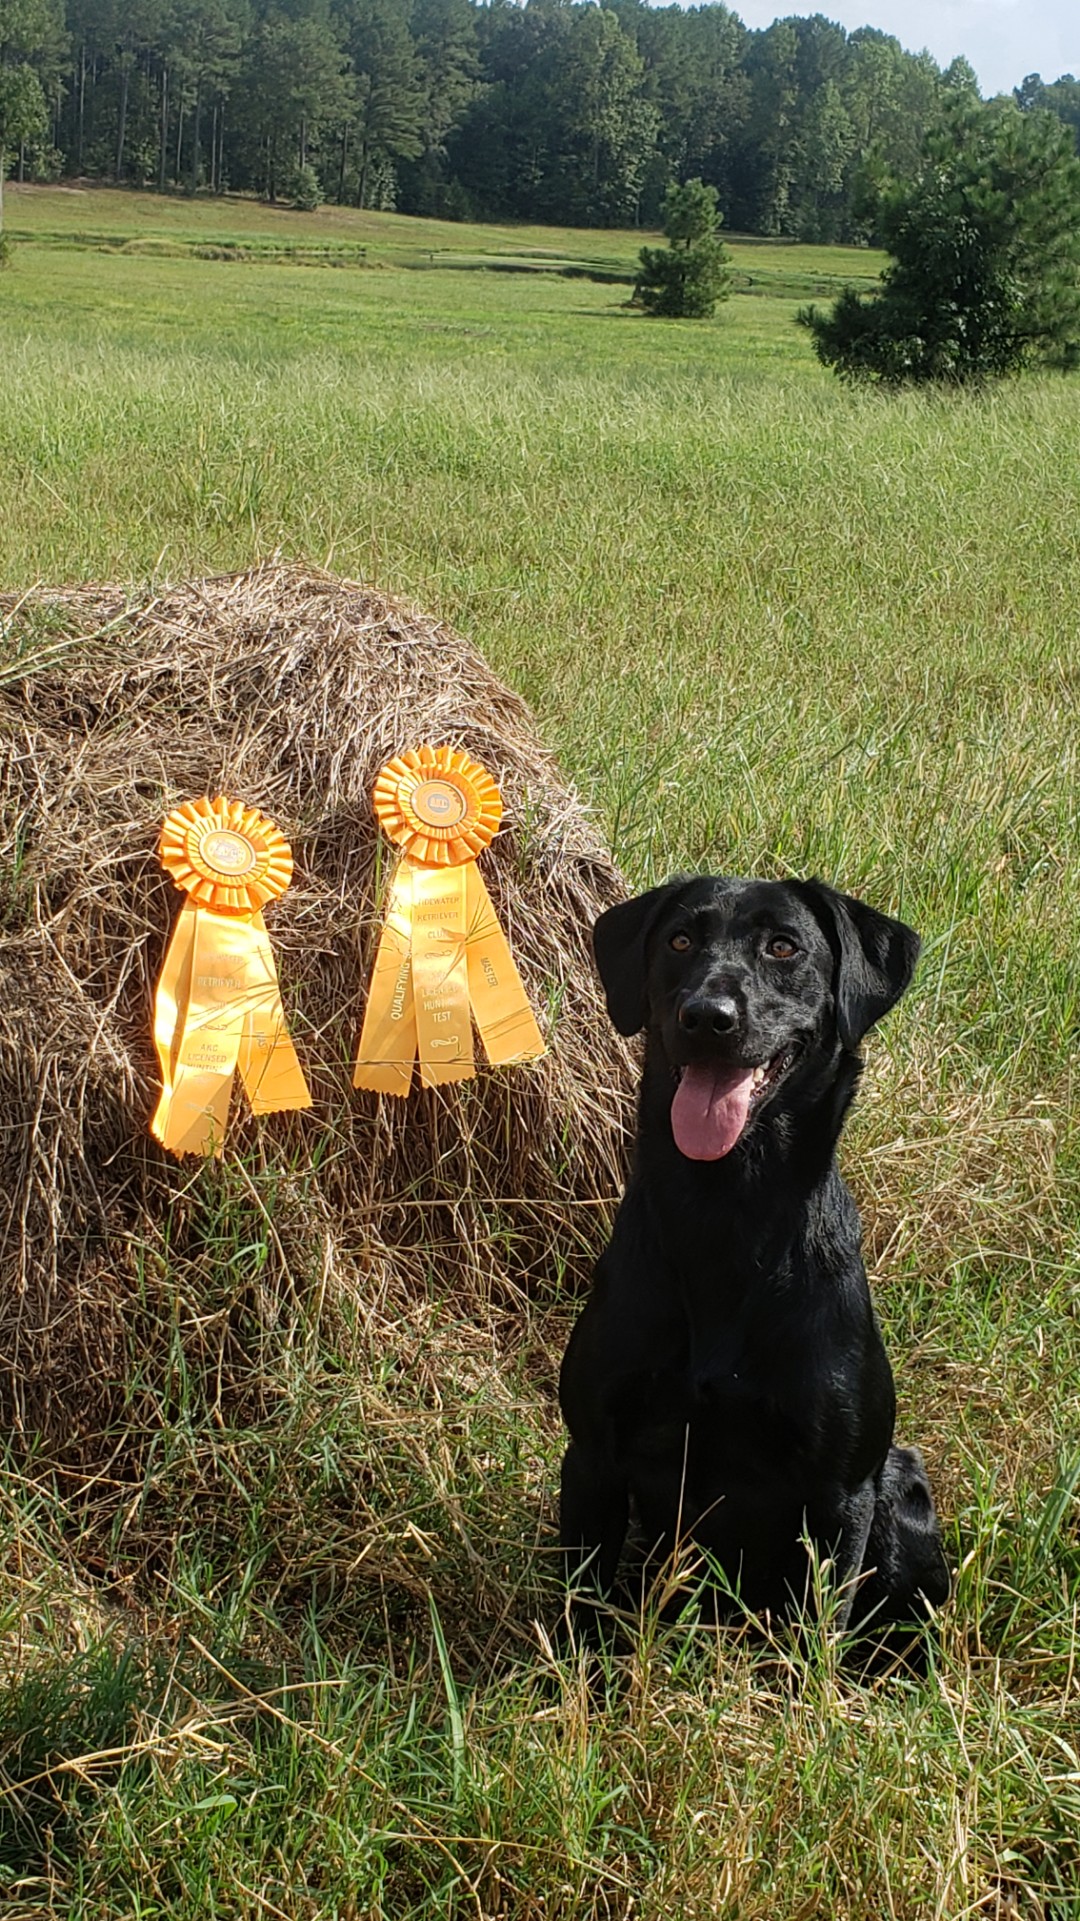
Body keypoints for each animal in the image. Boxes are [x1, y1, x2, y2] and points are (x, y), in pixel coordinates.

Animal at [557, 879, 945, 1644]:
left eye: (784, 947)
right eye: (679, 940)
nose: (708, 1016)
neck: (726, 1210)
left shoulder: (838, 1497)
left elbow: (812, 1638)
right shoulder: (590, 1459)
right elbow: (579, 1614)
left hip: (901, 1499)